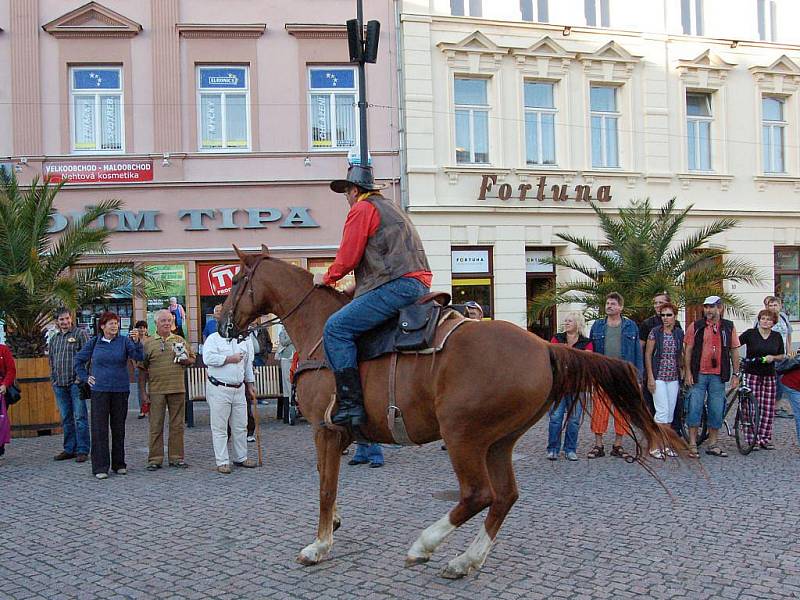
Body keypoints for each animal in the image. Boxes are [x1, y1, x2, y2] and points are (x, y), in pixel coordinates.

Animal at [222, 246, 680, 580]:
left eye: (236, 280)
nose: (223, 322)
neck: (320, 329)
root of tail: (545, 346)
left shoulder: (325, 430)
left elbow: (325, 489)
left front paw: (318, 546)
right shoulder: (338, 436)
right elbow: (327, 481)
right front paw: (331, 526)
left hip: (462, 435)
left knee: (478, 495)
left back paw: (424, 545)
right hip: (497, 442)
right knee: (504, 497)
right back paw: (466, 560)